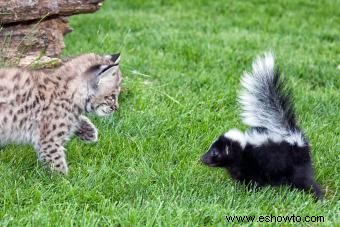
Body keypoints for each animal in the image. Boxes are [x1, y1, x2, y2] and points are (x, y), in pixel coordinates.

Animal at [201, 52, 322, 199]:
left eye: (215, 152)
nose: (202, 158)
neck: (242, 149)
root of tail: (293, 136)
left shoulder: (253, 162)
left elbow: (253, 179)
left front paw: (250, 191)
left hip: (295, 163)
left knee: (304, 179)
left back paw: (317, 196)